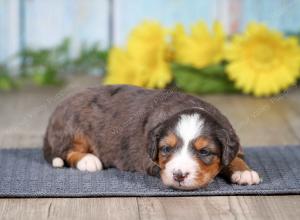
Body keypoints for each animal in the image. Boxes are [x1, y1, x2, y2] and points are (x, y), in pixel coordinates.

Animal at [43, 85, 262, 190]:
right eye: (166, 149)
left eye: (205, 152)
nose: (179, 175)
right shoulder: (149, 160)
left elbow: (235, 158)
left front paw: (244, 172)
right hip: (73, 128)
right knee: (67, 151)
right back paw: (89, 160)